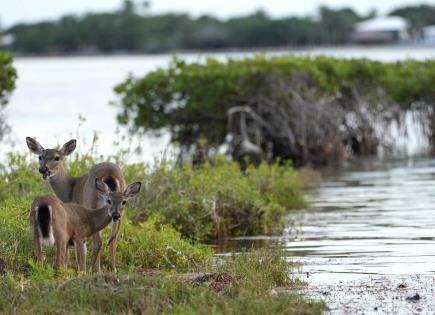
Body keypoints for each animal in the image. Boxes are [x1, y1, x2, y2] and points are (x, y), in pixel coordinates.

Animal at [26, 138, 127, 274]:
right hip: (120, 209)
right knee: (113, 239)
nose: (43, 169)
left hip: (92, 202)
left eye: (57, 157)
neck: (71, 189)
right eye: (40, 157)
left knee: (98, 241)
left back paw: (95, 269)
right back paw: (113, 269)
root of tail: (110, 174)